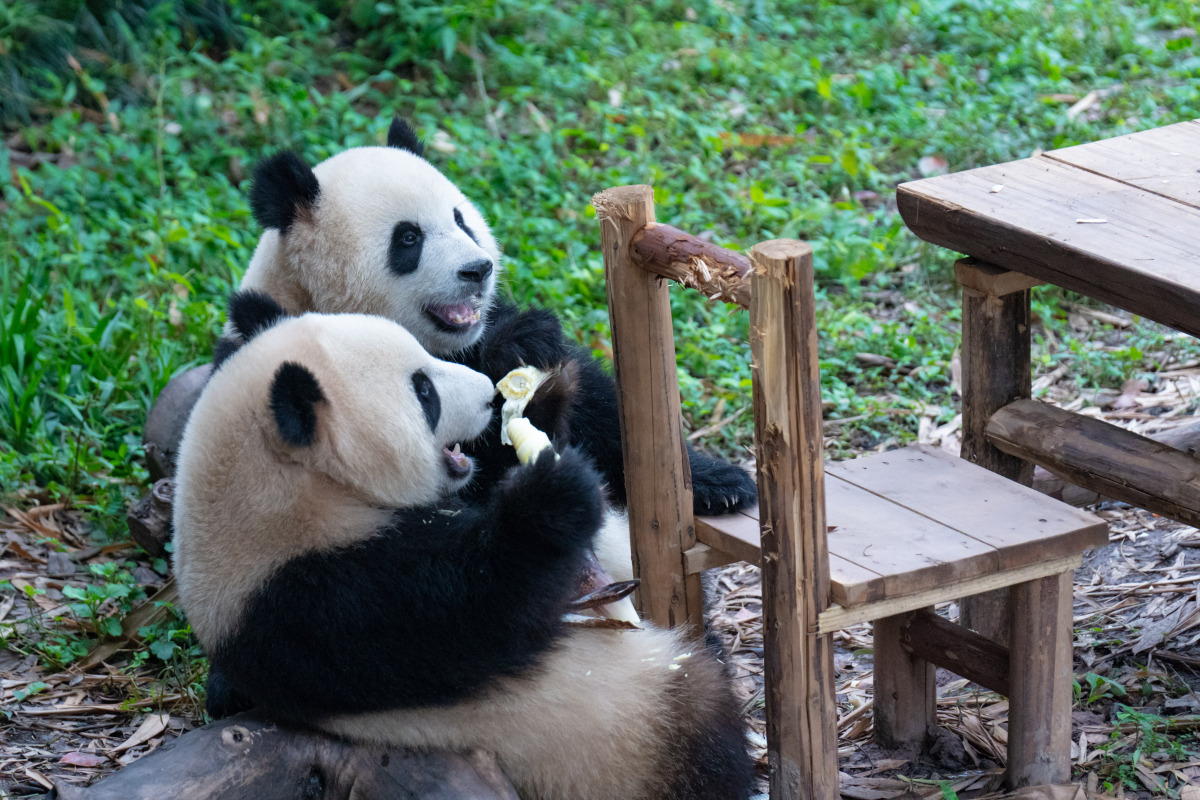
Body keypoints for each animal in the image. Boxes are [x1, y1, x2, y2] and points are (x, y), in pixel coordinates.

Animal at [171, 293, 748, 800]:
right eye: (424, 391)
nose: (491, 395)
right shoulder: (313, 605)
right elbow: (487, 608)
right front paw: (553, 497)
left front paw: (541, 396)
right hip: (624, 735)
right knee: (701, 724)